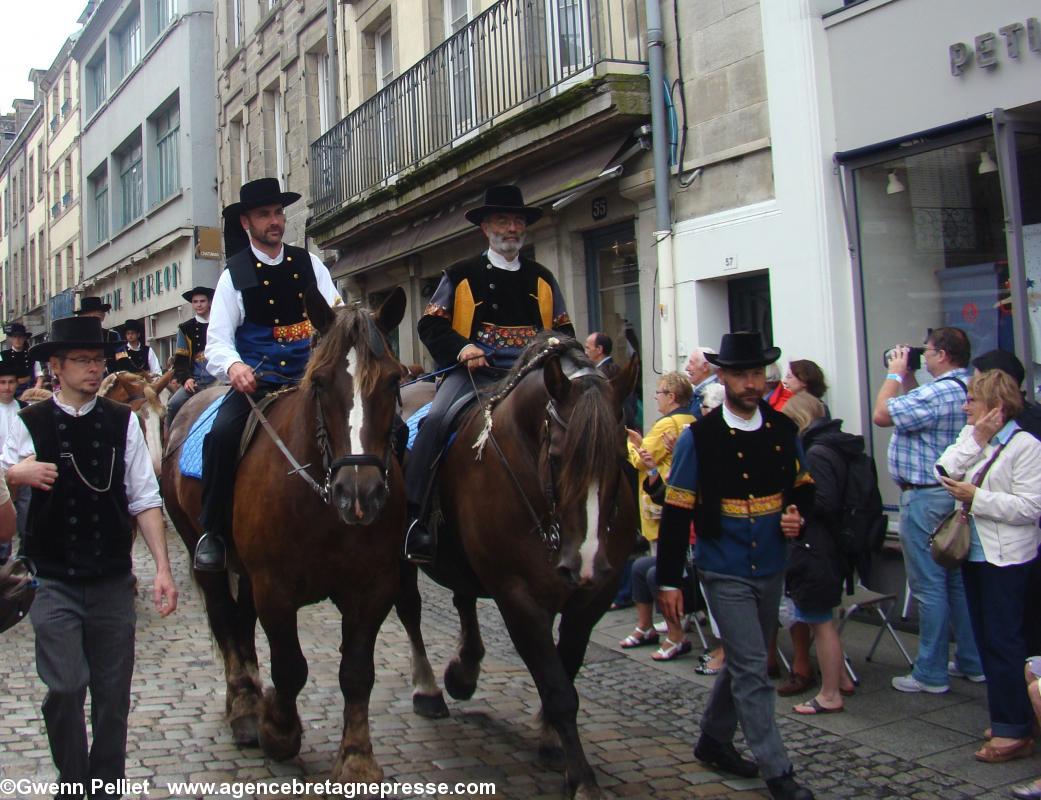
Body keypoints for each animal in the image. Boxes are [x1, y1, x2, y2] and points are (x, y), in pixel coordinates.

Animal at [161, 287, 405, 783]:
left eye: (392, 382)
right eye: (320, 383)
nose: (360, 495)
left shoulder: (374, 588)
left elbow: (357, 672)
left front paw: (357, 758)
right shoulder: (274, 587)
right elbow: (291, 667)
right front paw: (278, 730)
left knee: (239, 620)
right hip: (204, 552)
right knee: (224, 617)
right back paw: (244, 707)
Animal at [397, 333, 637, 795]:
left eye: (621, 456)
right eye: (558, 456)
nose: (585, 562)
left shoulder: (593, 599)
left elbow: (567, 667)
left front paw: (551, 740)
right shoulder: (517, 596)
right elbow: (557, 687)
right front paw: (583, 779)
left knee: (463, 597)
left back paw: (464, 671)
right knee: (411, 611)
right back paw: (429, 689)